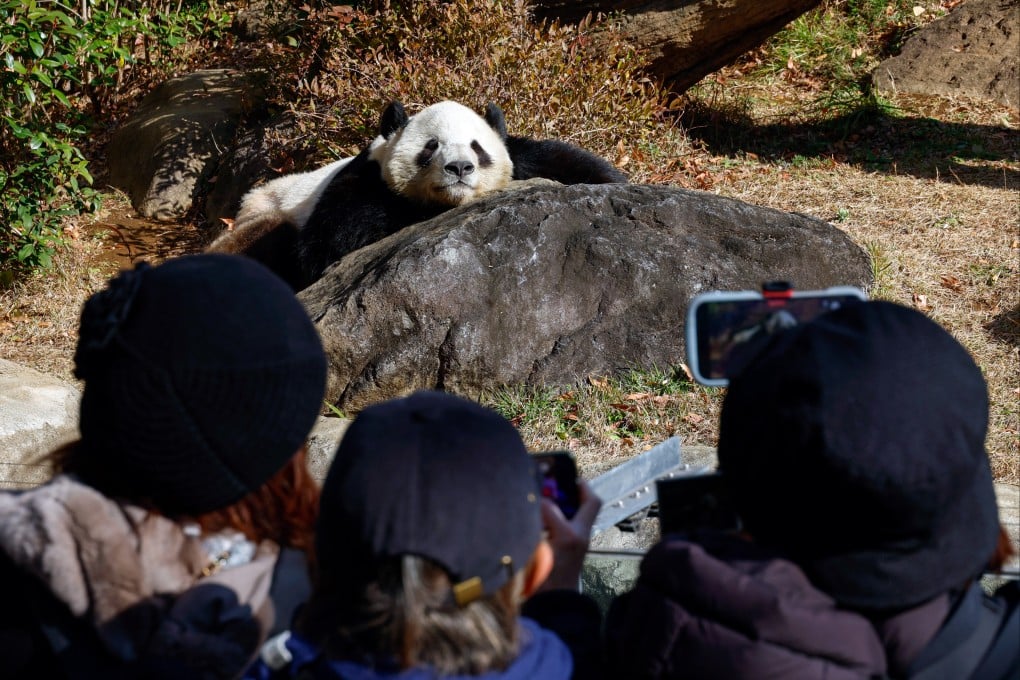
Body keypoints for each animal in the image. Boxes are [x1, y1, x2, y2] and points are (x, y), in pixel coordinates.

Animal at [210, 100, 626, 290]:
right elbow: (332, 242)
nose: (459, 168)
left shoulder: (523, 156)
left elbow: (563, 160)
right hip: (260, 216)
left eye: (477, 148)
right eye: (431, 146)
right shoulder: (360, 181)